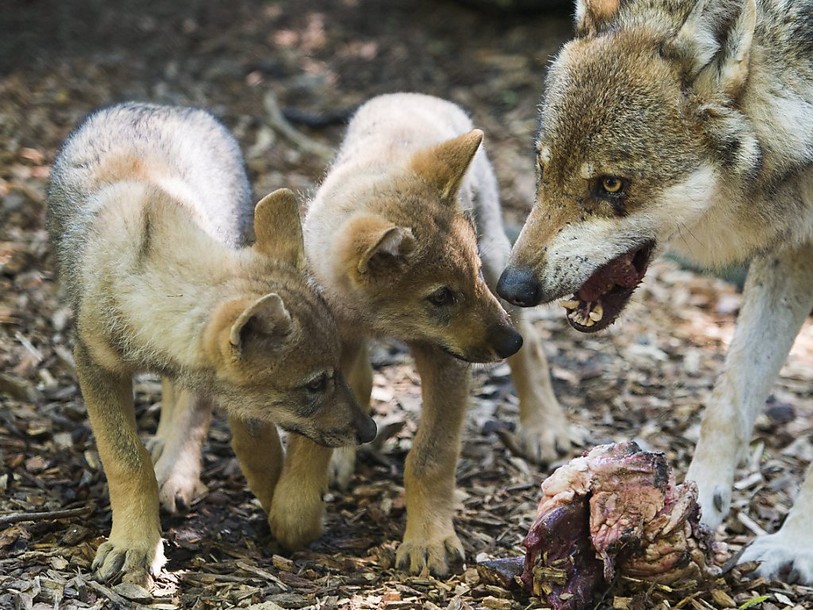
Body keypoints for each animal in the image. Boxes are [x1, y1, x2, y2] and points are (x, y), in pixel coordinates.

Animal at [47, 102, 376, 585]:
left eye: (334, 374)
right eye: (315, 385)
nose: (370, 431)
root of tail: (169, 106)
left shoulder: (216, 382)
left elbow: (249, 439)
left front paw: (284, 510)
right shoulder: (94, 366)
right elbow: (127, 461)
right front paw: (135, 545)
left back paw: (176, 467)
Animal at [262, 92, 569, 577]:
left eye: (471, 276)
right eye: (441, 297)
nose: (507, 344)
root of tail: (413, 96)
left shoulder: (447, 361)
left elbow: (429, 457)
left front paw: (428, 541)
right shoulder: (331, 352)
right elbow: (312, 440)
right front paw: (295, 509)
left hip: (500, 266)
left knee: (536, 345)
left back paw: (543, 426)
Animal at [496, 0, 813, 584]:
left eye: (611, 185)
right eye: (542, 168)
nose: (512, 286)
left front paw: (795, 546)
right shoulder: (791, 253)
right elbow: (726, 404)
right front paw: (697, 505)